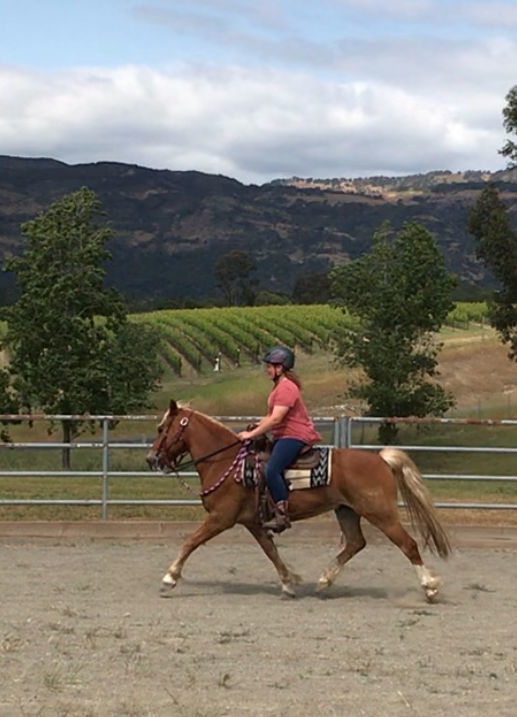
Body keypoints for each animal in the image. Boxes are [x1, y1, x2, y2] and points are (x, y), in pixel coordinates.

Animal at [146, 399, 451, 601]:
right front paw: (289, 582)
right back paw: (325, 580)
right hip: (346, 511)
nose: (151, 459)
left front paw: (169, 578)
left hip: (381, 513)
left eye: (162, 429)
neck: (228, 463)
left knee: (407, 544)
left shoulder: (221, 517)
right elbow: (271, 552)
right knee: (355, 543)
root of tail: (380, 459)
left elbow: (191, 541)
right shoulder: (253, 522)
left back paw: (430, 587)